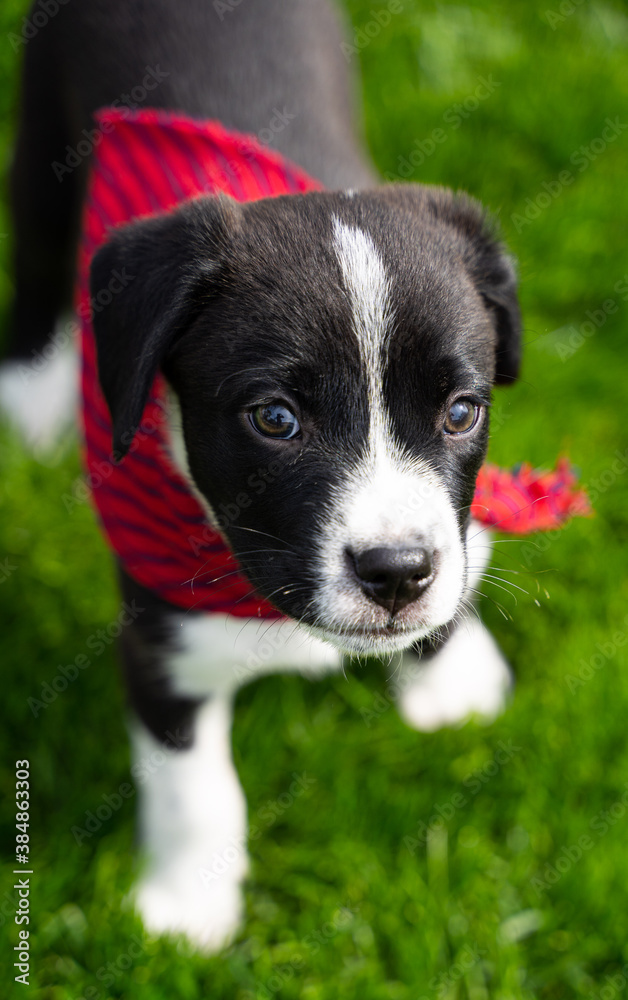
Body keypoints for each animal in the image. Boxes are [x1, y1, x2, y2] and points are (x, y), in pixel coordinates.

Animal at [3, 0, 520, 948]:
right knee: (34, 255)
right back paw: (28, 392)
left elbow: (461, 554)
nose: (397, 575)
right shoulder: (159, 632)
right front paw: (187, 911)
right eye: (274, 420)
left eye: (462, 412)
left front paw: (450, 677)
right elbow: (192, 784)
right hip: (44, 130)